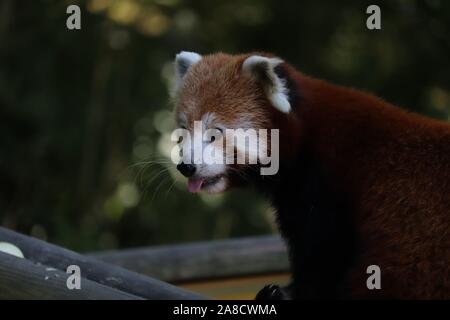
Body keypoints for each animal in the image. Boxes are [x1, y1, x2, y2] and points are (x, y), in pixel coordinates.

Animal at [171, 51, 448, 298]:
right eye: (184, 129)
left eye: (215, 133)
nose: (186, 166)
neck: (305, 137)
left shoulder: (324, 185)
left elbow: (322, 251)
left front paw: (288, 293)